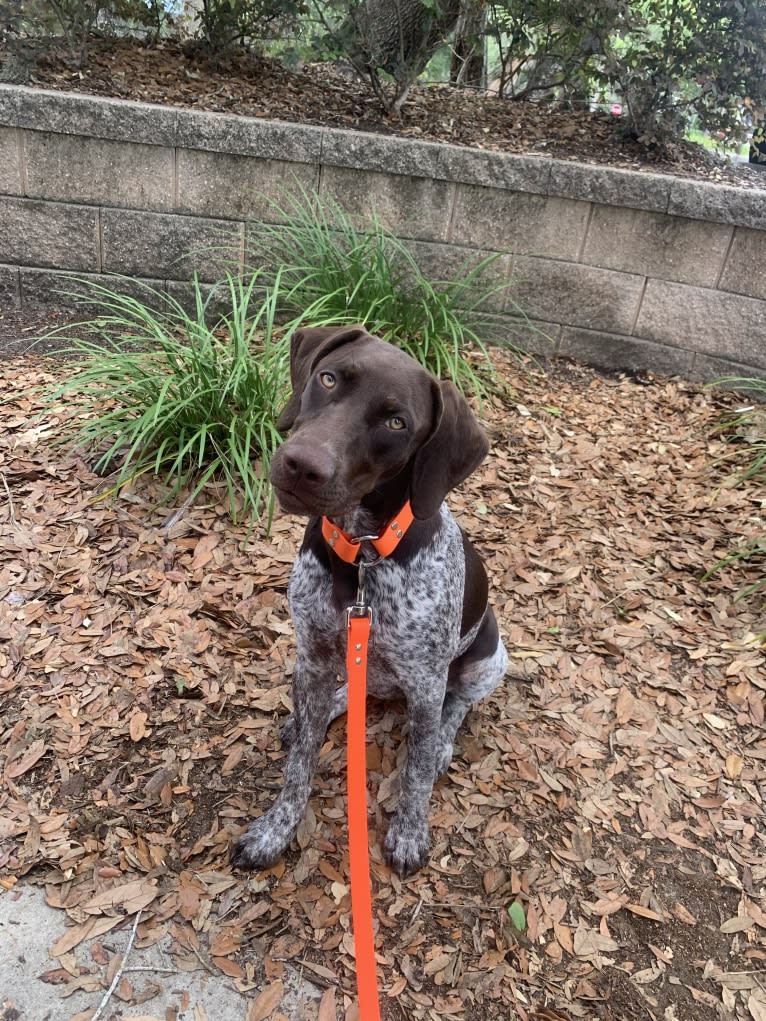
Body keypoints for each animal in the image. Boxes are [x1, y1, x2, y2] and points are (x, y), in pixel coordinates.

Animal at [233, 326, 510, 878]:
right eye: (328, 378)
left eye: (396, 422)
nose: (302, 465)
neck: (361, 555)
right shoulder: (313, 655)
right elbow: (299, 766)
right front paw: (275, 829)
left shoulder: (426, 682)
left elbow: (416, 773)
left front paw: (409, 832)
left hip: (490, 657)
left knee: (457, 706)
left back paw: (442, 741)